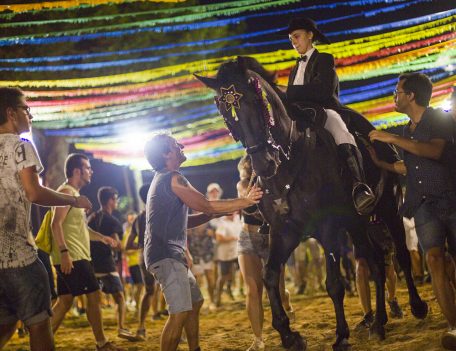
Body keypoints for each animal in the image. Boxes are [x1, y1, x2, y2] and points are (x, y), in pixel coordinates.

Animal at [196, 56, 428, 350]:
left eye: (254, 101)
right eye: (226, 114)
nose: (263, 165)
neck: (289, 160)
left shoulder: (328, 227)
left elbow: (334, 284)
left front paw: (341, 336)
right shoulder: (283, 231)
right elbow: (270, 276)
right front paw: (289, 335)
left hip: (389, 210)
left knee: (401, 256)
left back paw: (416, 306)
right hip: (357, 224)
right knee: (376, 263)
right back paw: (378, 323)